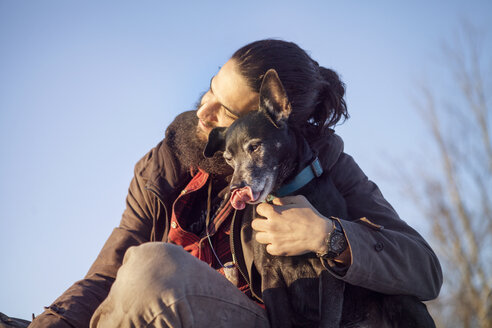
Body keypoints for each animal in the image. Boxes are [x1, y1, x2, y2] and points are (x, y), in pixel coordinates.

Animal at [204, 70, 434, 328]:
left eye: (255, 146)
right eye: (228, 158)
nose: (235, 188)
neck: (286, 193)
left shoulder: (328, 273)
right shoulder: (270, 276)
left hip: (402, 299)